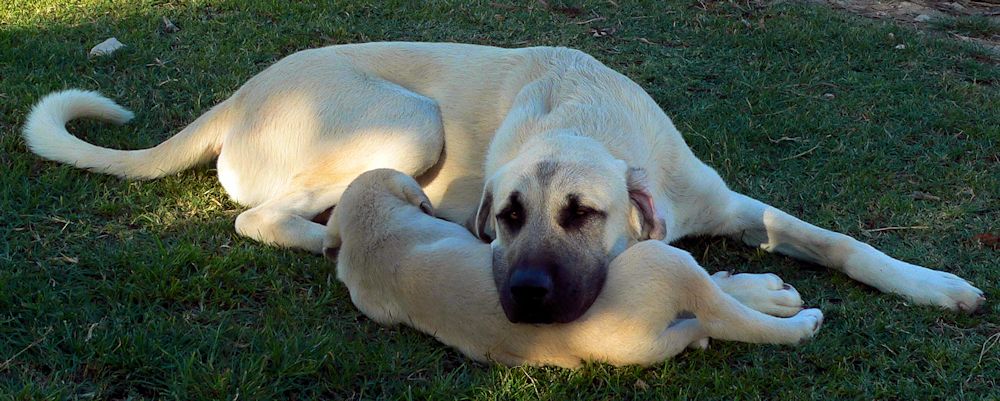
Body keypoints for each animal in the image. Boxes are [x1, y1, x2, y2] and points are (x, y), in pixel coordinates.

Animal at [23, 40, 984, 322]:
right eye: (509, 215)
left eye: (582, 213)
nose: (521, 295)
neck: (581, 117)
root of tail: (241, 92)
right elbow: (685, 269)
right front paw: (758, 289)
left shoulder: (732, 202)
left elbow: (837, 239)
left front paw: (931, 281)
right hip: (409, 122)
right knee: (261, 220)